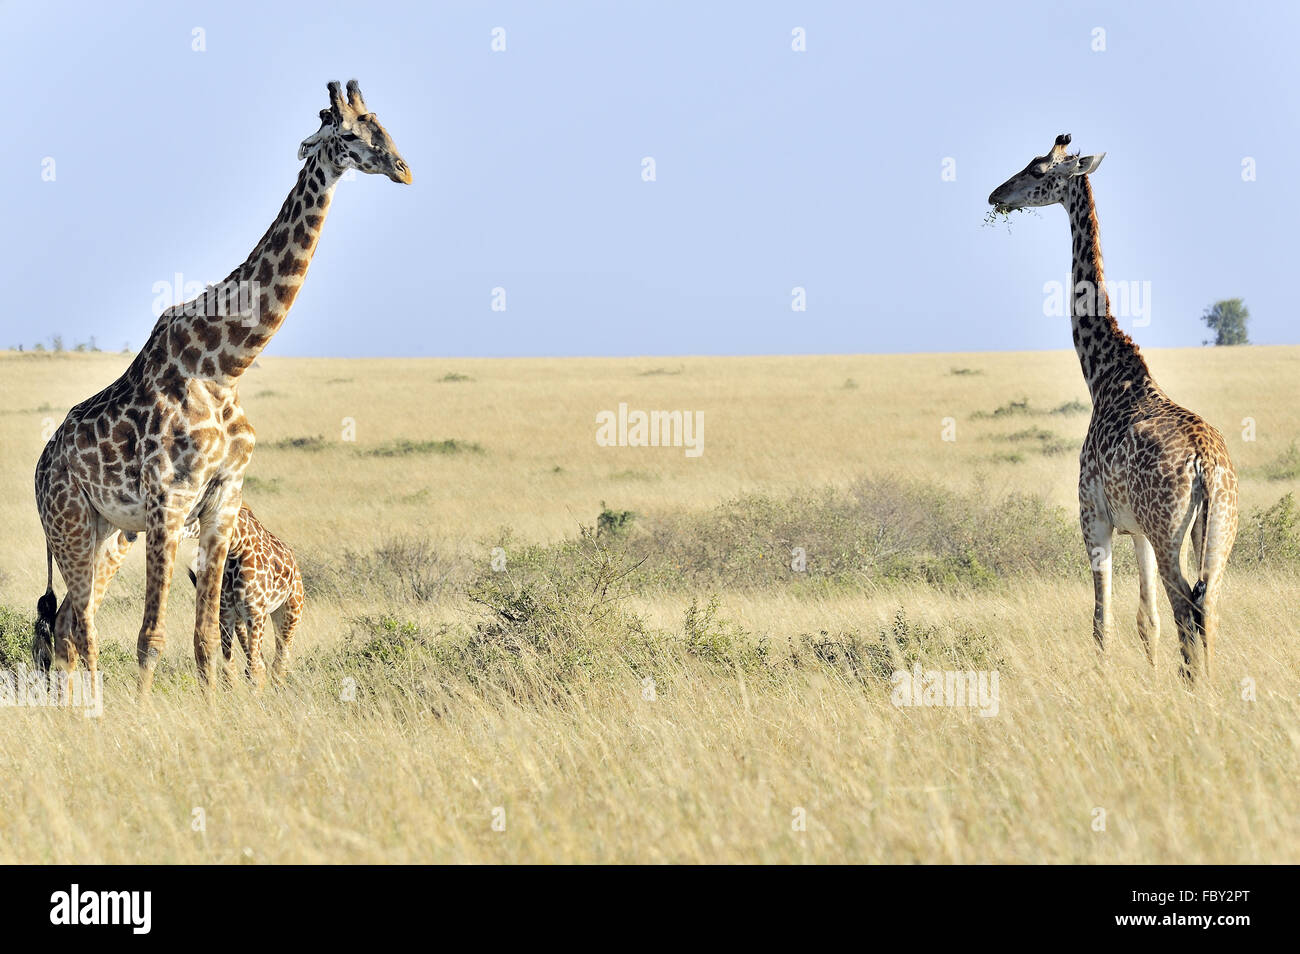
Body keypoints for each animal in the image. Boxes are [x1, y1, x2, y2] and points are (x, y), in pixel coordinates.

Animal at [180, 505, 304, 687]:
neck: (235, 546)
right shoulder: (226, 613)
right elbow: (230, 670)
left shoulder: (256, 612)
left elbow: (254, 669)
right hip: (243, 620)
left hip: (291, 611)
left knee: (280, 660)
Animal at [988, 134, 1238, 683]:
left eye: (1037, 169)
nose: (996, 195)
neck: (1104, 376)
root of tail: (1206, 466)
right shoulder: (1136, 530)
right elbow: (1146, 621)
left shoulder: (1094, 519)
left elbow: (1102, 623)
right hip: (1217, 531)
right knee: (1207, 607)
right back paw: (1208, 688)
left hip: (1169, 531)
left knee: (1187, 607)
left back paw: (1195, 690)